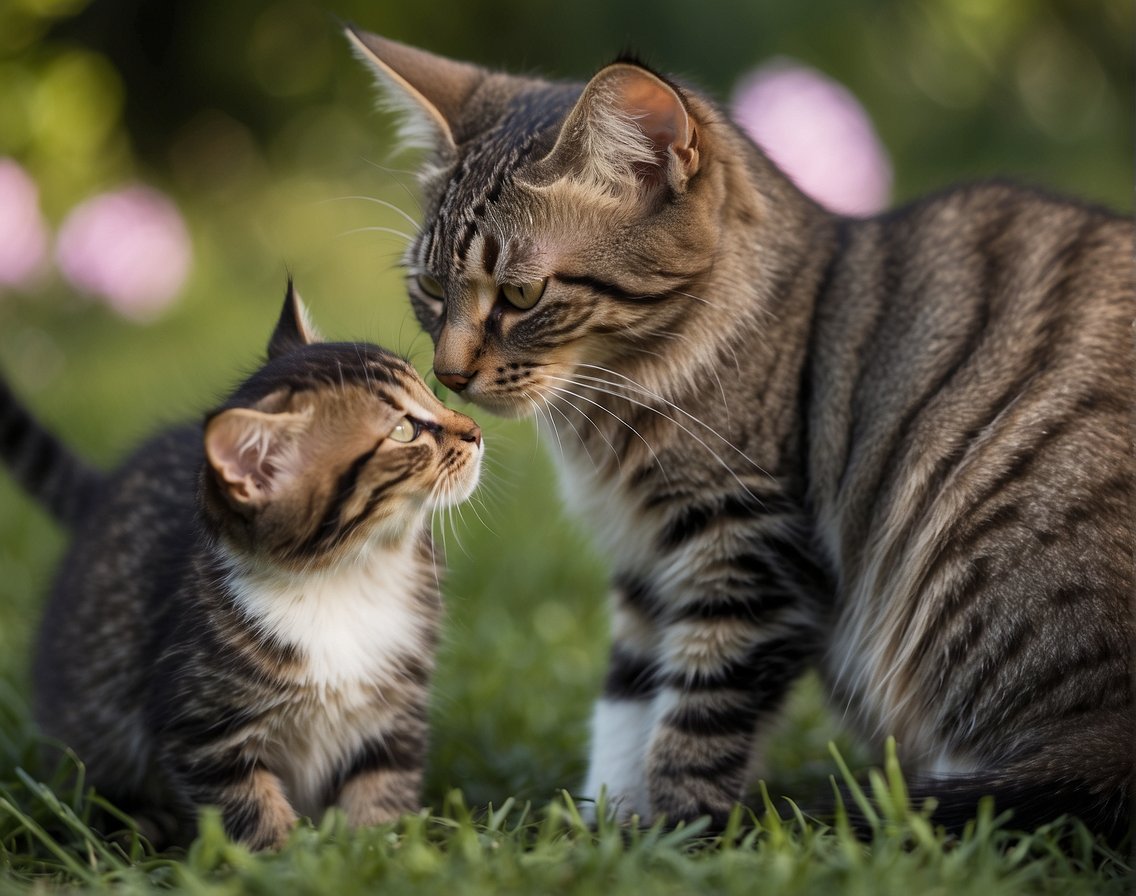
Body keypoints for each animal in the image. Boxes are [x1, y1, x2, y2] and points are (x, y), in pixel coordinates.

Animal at [0, 285, 481, 844]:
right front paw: (288, 855)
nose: (474, 430)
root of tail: (102, 495)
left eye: (431, 392)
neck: (342, 576)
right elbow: (250, 810)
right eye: (404, 430)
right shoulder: (203, 728)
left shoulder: (397, 711)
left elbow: (381, 787)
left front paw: (376, 846)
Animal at [347, 27, 1136, 840]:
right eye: (430, 288)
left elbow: (694, 723)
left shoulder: (748, 546)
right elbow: (626, 706)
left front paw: (675, 839)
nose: (448, 376)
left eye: (521, 293)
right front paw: (600, 830)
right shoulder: (647, 563)